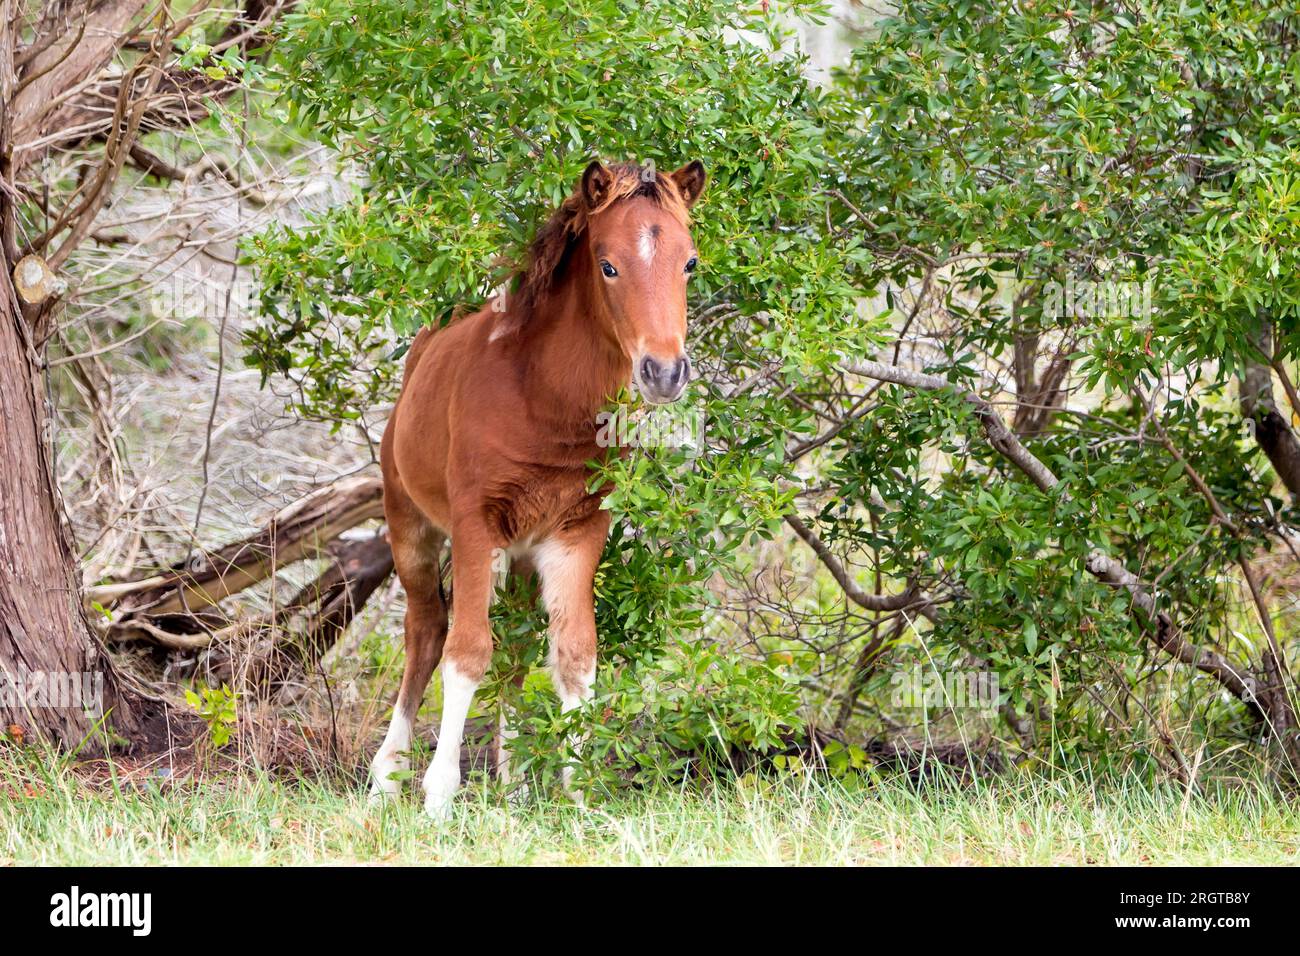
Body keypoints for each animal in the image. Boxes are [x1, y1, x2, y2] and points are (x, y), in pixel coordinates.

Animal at [369, 159, 707, 817]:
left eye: (689, 262)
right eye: (608, 265)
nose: (665, 372)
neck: (544, 396)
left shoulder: (579, 531)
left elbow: (575, 657)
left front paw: (580, 796)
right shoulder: (476, 523)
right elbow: (467, 651)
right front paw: (438, 796)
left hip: (523, 557)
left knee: (517, 649)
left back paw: (514, 781)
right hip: (410, 525)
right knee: (425, 633)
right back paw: (387, 776)